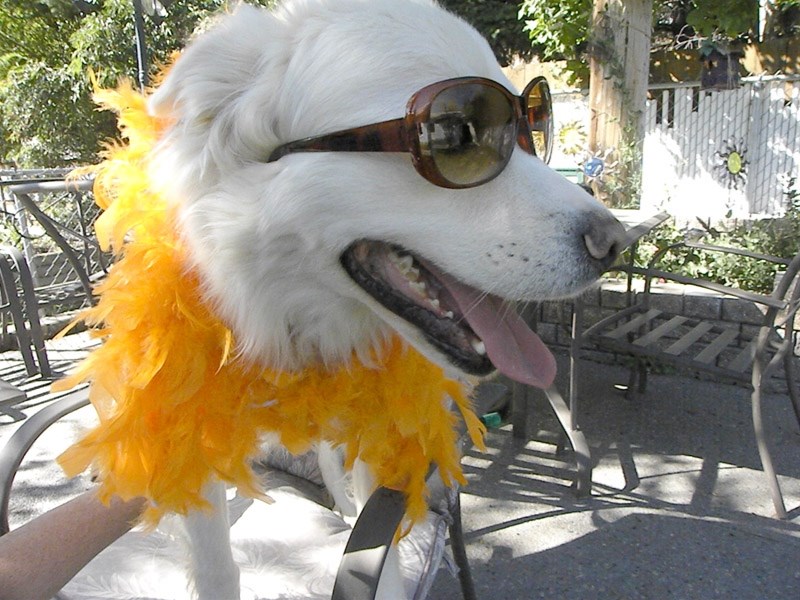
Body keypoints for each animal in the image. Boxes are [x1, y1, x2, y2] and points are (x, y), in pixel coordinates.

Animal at [142, 0, 624, 596]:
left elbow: (382, 548)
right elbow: (216, 567)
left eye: (534, 124)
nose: (617, 244)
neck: (282, 318)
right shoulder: (194, 449)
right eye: (456, 133)